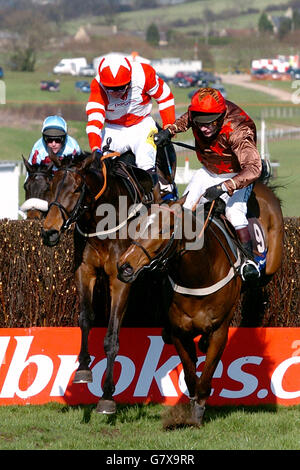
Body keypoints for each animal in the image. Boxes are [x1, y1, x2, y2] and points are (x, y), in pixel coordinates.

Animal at [117, 183, 284, 426]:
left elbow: (206, 374)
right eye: (137, 226)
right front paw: (190, 406)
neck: (197, 276)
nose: (124, 267)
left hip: (271, 264)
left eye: (164, 229)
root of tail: (263, 185)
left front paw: (197, 413)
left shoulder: (220, 331)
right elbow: (189, 373)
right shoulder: (179, 331)